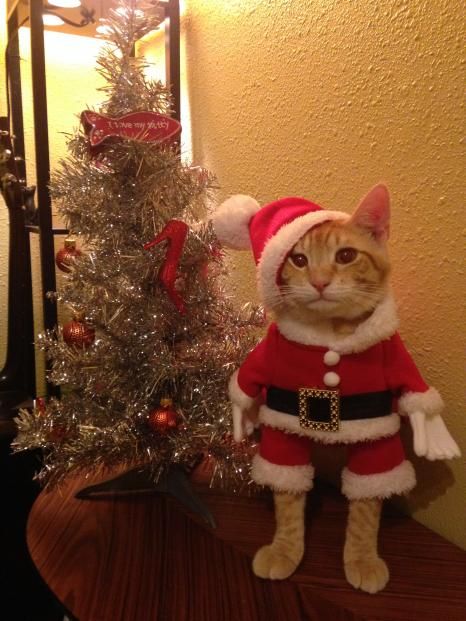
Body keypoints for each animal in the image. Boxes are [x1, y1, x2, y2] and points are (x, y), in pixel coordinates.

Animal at [213, 183, 460, 592]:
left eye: (346, 255)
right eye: (298, 259)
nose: (319, 281)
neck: (330, 336)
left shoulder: (382, 424)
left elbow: (366, 508)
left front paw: (361, 558)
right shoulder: (280, 424)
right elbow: (287, 499)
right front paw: (286, 548)